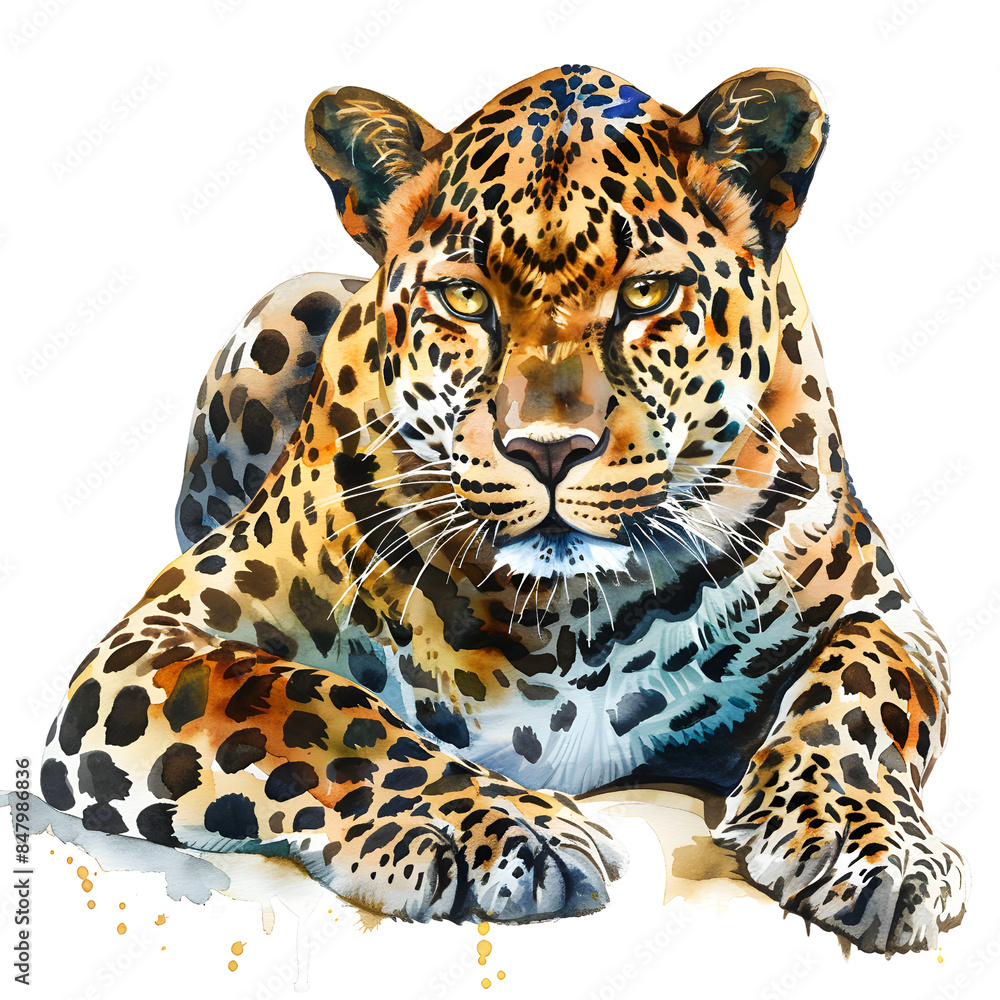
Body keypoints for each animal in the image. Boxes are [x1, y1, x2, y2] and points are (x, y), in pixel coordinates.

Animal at [40, 65, 966, 953]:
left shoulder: (881, 605)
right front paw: (498, 822)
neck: (572, 614)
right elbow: (316, 705)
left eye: (649, 295)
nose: (548, 449)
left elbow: (861, 686)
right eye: (464, 300)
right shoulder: (160, 635)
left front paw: (868, 843)